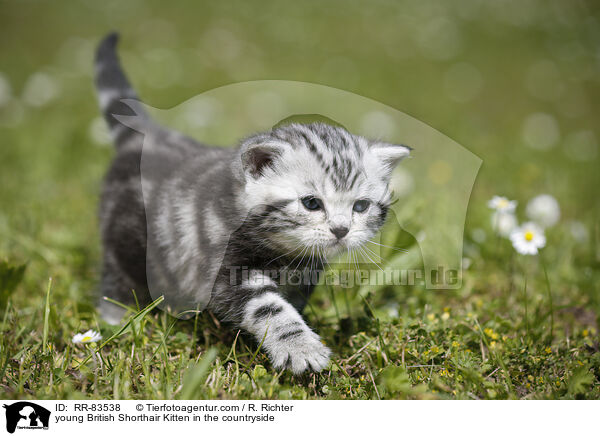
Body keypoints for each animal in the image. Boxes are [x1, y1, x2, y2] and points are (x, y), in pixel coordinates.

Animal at [95, 33, 412, 374]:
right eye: (312, 203)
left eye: (360, 207)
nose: (341, 230)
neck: (286, 256)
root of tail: (148, 137)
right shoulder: (228, 270)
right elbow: (269, 308)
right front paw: (299, 347)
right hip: (123, 238)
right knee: (117, 273)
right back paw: (116, 316)